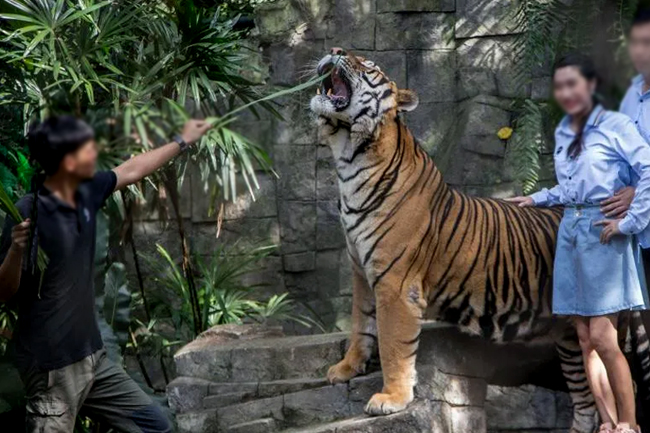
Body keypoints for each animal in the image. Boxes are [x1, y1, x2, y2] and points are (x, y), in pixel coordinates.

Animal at [309, 47, 650, 433]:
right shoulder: (361, 273)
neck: (350, 158)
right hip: (570, 338)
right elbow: (360, 325)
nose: (335, 50)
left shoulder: (395, 284)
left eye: (368, 65)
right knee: (586, 398)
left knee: (623, 382)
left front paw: (391, 398)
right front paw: (345, 369)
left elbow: (393, 342)